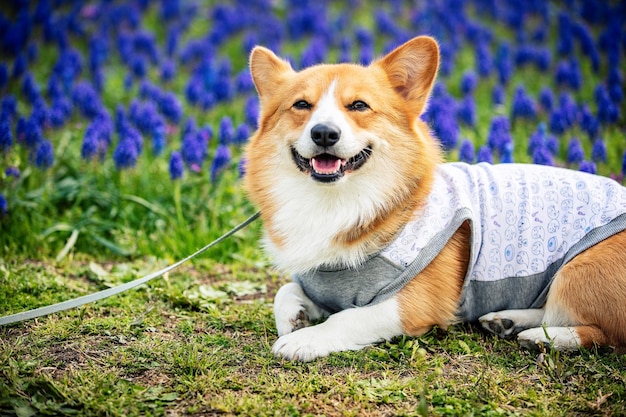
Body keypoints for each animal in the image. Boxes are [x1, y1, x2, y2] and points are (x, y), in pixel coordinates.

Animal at [241, 35, 624, 360]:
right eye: (301, 105)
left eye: (359, 105)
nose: (323, 133)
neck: (338, 200)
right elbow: (285, 292)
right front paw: (295, 317)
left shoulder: (414, 302)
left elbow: (348, 318)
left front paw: (303, 339)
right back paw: (508, 320)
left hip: (580, 269)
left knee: (605, 333)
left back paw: (546, 338)